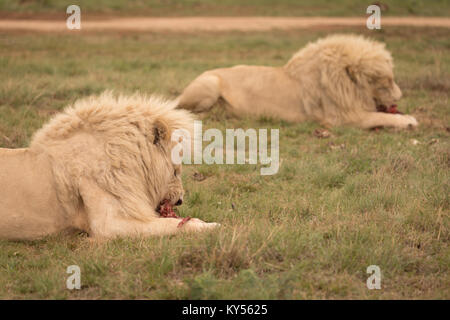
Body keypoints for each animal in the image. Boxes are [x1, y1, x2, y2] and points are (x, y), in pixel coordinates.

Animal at [177, 34, 418, 129]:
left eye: (391, 79)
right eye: (386, 82)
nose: (400, 96)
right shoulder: (339, 117)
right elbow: (379, 117)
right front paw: (408, 120)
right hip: (210, 84)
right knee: (187, 111)